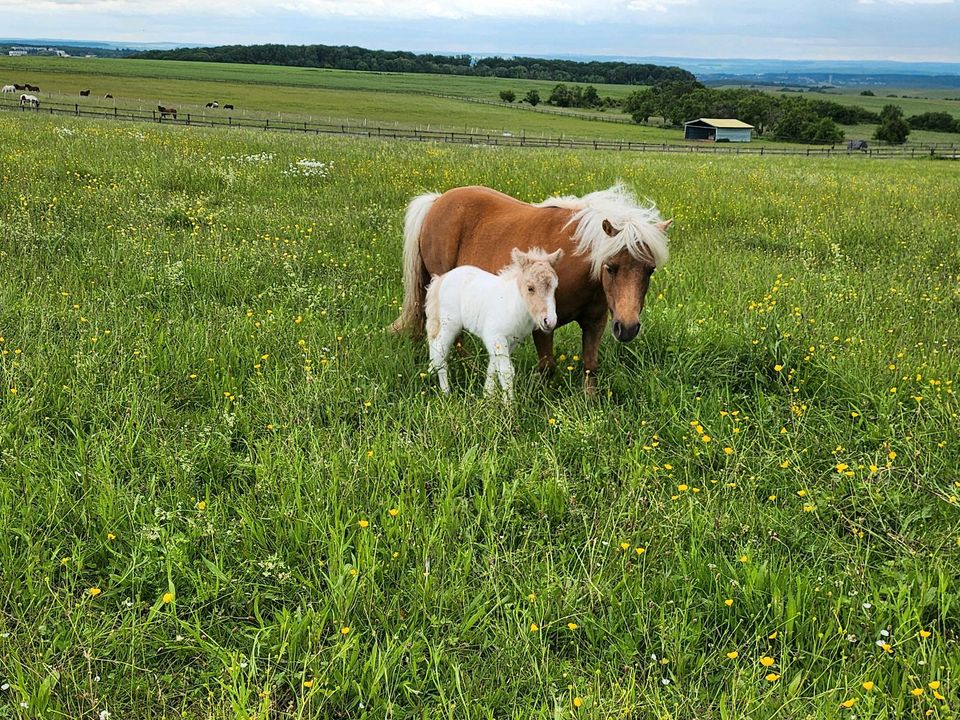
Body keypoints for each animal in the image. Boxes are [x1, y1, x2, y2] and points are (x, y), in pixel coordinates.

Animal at [426, 248, 564, 400]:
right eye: (530, 288)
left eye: (555, 288)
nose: (549, 321)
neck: (513, 304)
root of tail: (442, 278)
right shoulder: (496, 336)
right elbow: (506, 371)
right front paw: (509, 404)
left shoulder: (510, 340)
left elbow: (493, 367)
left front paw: (487, 396)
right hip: (449, 325)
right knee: (439, 351)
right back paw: (446, 393)